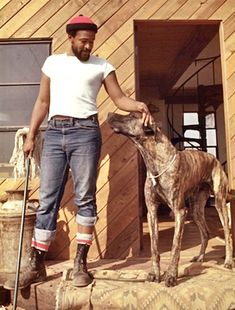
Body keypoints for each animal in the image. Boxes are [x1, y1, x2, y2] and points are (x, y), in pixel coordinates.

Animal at [108, 111, 233, 286]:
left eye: (131, 115)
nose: (109, 114)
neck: (156, 162)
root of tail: (214, 159)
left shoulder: (179, 212)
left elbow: (175, 246)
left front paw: (171, 275)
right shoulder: (152, 212)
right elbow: (154, 248)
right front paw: (154, 274)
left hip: (220, 203)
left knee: (227, 234)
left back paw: (228, 261)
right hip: (196, 210)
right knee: (205, 233)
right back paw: (200, 257)